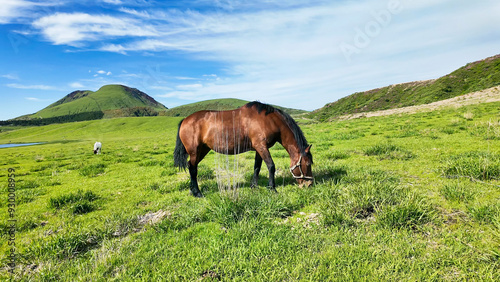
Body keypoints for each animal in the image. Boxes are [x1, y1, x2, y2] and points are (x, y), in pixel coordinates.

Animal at [173, 102, 312, 198]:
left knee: (191, 166)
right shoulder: (262, 147)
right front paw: (272, 188)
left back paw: (192, 190)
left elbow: (257, 167)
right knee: (193, 169)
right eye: (308, 164)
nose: (309, 184)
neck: (269, 120)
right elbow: (271, 166)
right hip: (195, 151)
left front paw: (254, 186)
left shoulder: (259, 148)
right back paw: (197, 193)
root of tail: (185, 120)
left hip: (203, 150)